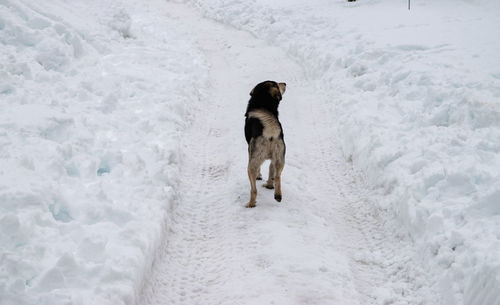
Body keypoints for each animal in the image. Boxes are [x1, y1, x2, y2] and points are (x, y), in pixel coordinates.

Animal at [245, 79, 288, 208]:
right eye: (276, 84)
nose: (285, 83)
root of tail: (270, 132)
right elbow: (270, 169)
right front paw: (269, 184)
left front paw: (259, 177)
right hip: (279, 157)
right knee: (277, 177)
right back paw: (277, 194)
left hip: (252, 164)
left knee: (254, 190)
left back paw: (250, 204)